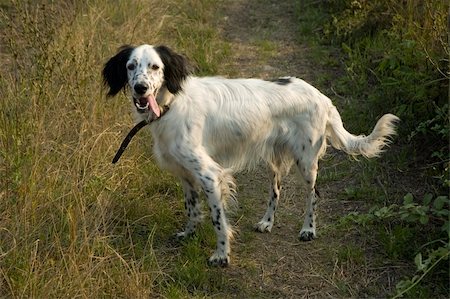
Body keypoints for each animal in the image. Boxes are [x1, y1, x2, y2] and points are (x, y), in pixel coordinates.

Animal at [101, 44, 398, 268]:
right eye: (131, 66)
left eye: (155, 67)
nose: (140, 88)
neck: (172, 103)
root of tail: (322, 96)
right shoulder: (185, 174)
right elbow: (192, 209)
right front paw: (188, 234)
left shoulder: (209, 175)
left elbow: (218, 220)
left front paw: (221, 255)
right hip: (273, 161)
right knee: (276, 190)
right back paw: (267, 222)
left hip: (306, 161)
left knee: (314, 194)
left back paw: (308, 230)